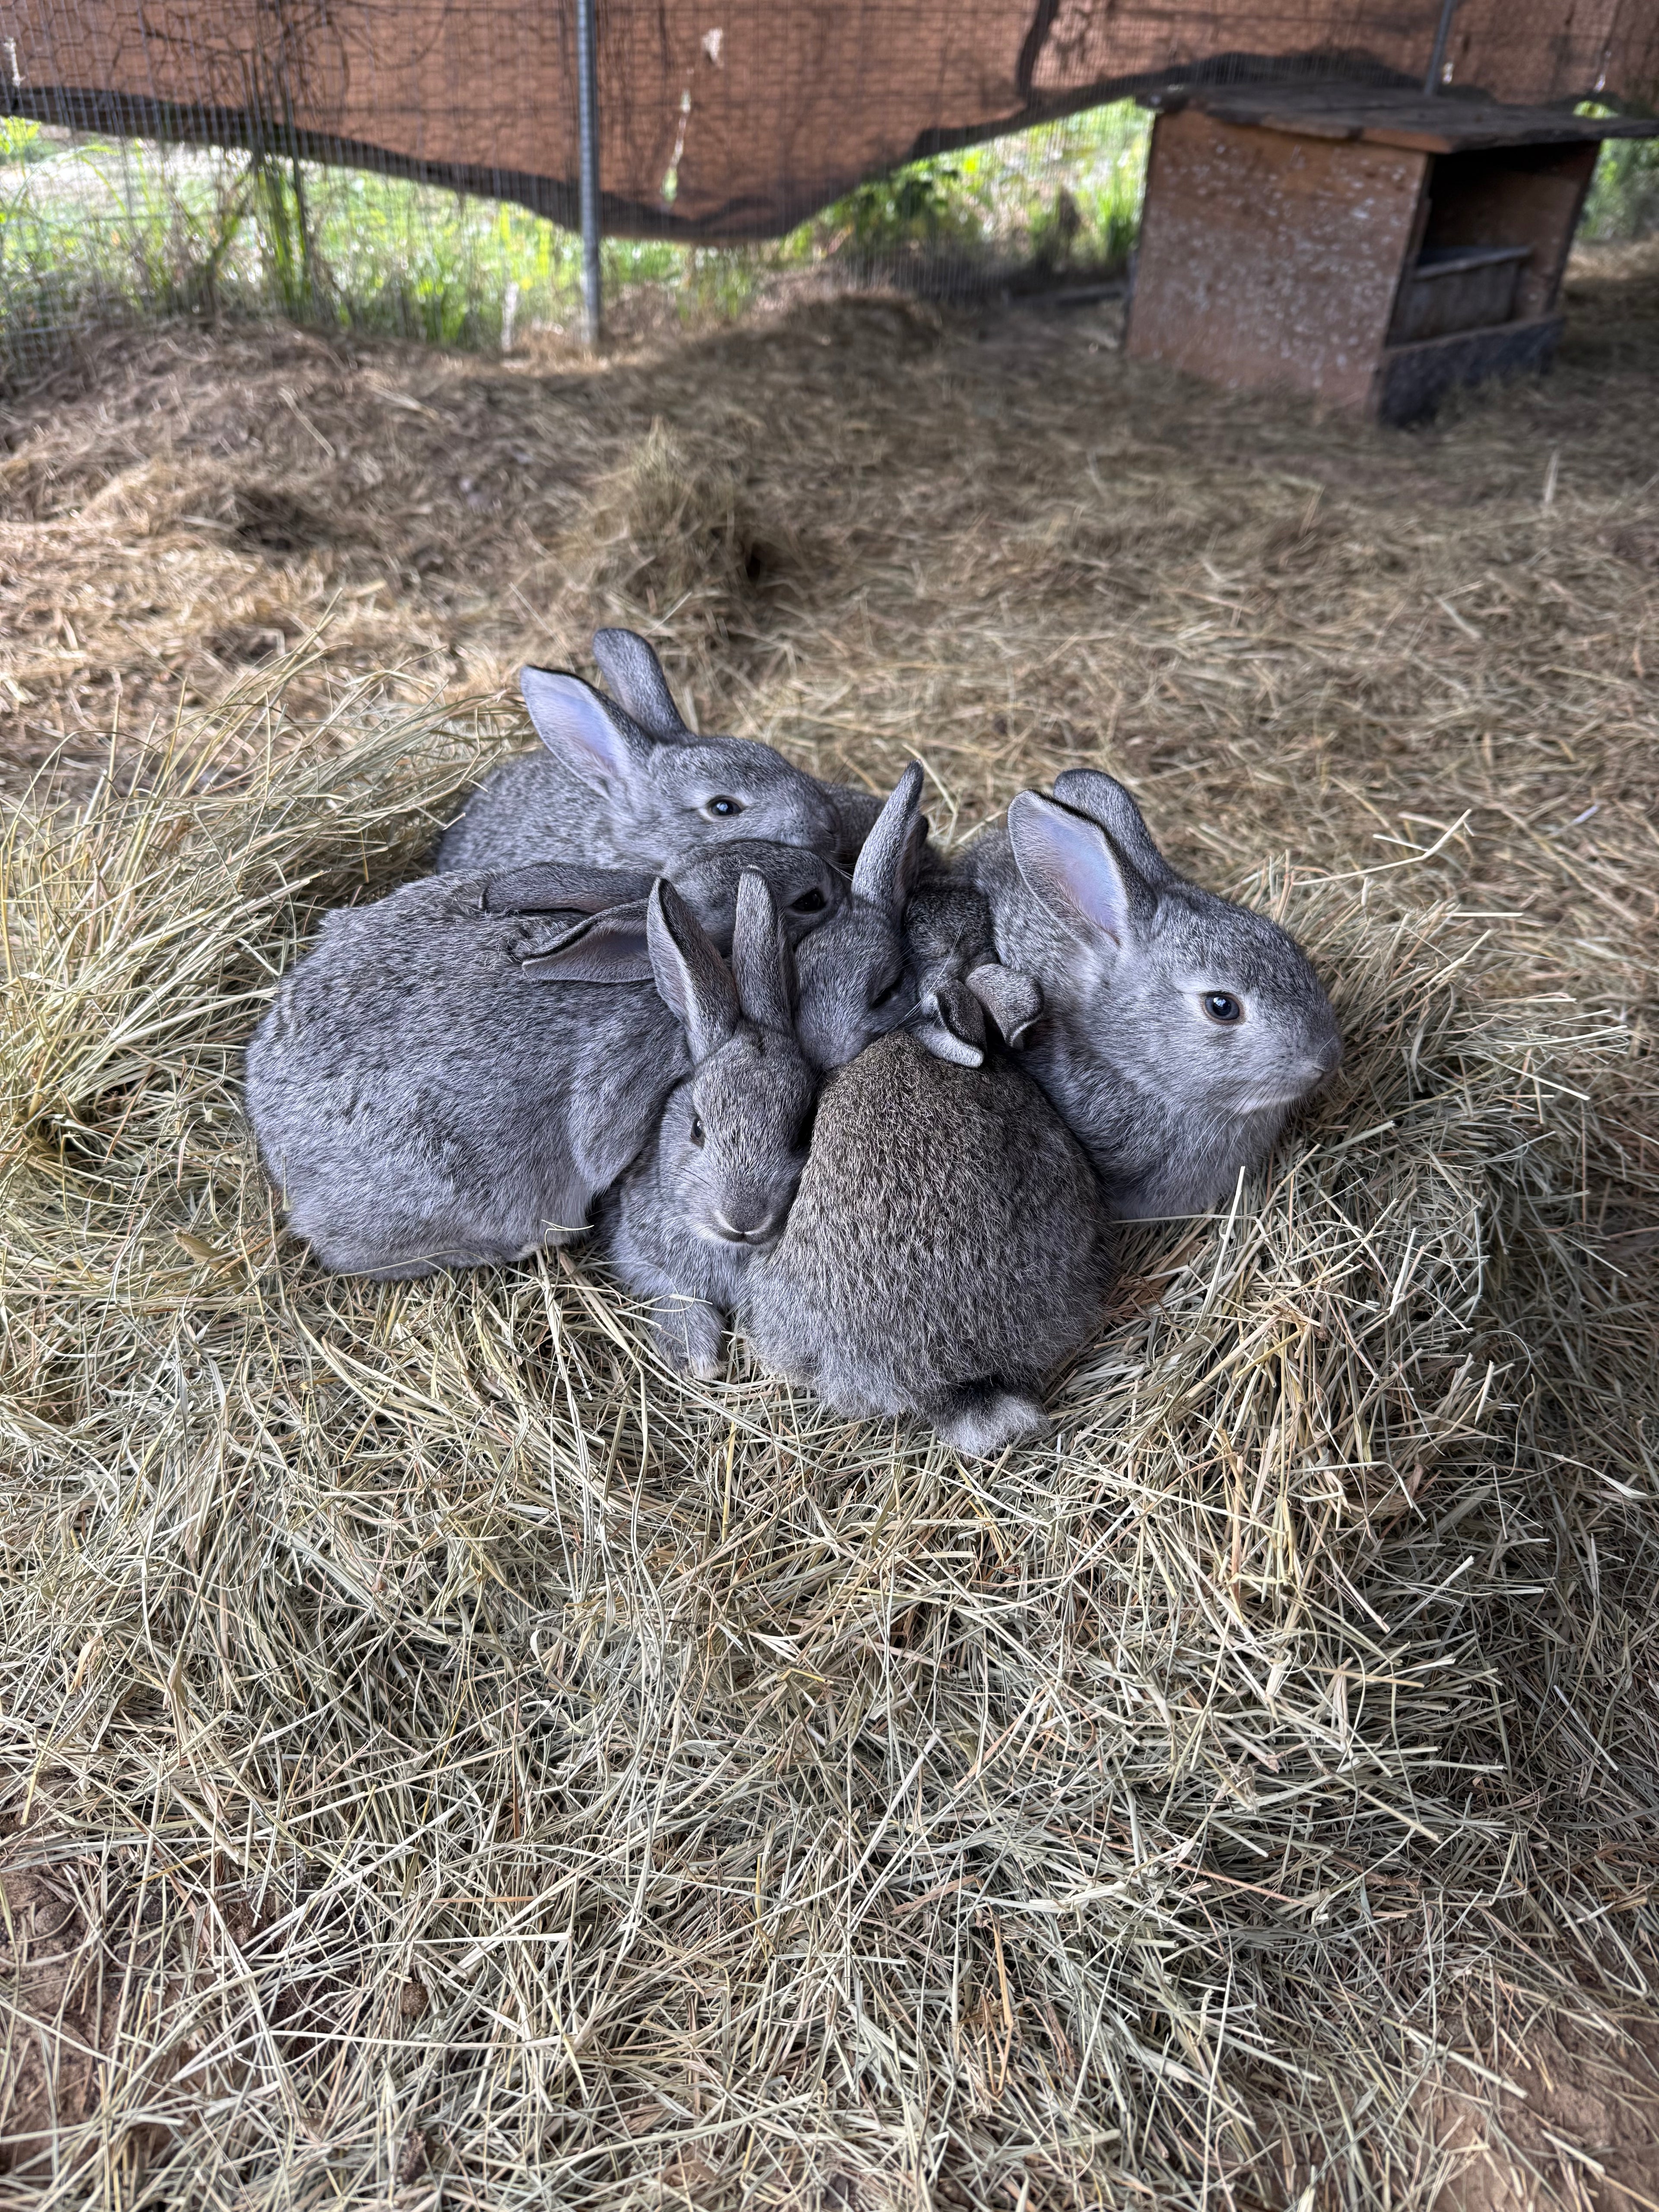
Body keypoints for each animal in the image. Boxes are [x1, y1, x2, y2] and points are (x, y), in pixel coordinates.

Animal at [596, 872, 817, 1380]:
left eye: (802, 1132)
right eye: (697, 1128)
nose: (743, 1219)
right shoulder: (637, 1253)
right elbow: (672, 1294)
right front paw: (699, 1357)